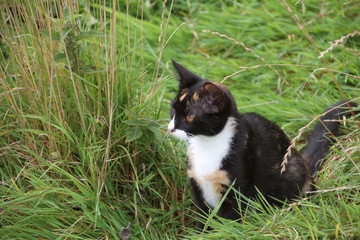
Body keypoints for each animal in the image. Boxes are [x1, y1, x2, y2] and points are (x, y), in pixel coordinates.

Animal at [167, 60, 358, 229]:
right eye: (173, 110)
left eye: (189, 117)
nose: (170, 128)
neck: (207, 144)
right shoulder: (197, 185)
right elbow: (202, 217)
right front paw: (201, 232)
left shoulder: (238, 186)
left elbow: (231, 218)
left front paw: (228, 231)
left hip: (292, 171)